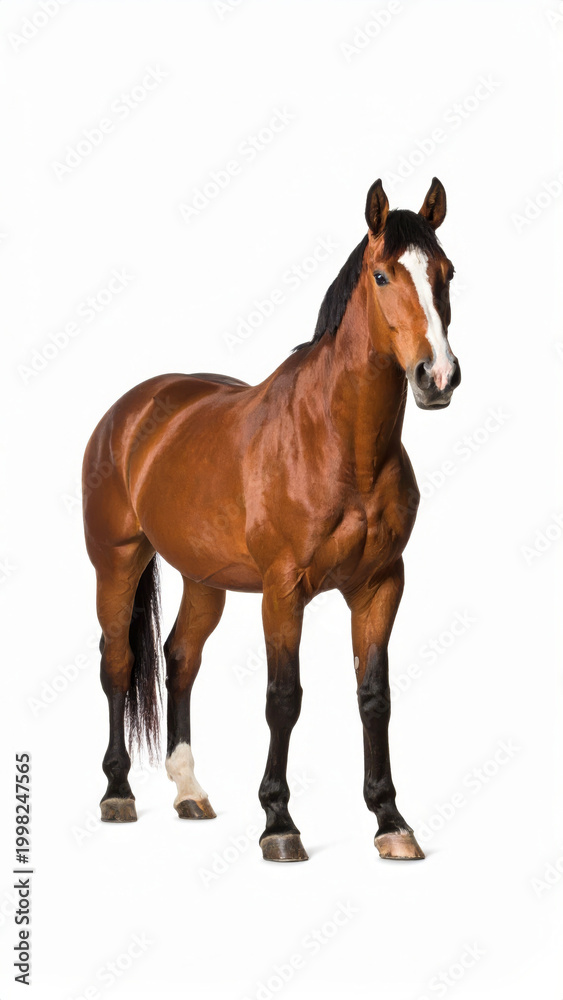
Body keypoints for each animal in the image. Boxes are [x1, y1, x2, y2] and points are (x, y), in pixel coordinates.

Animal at [82, 176, 461, 863]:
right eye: (383, 275)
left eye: (446, 273)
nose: (437, 376)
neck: (341, 444)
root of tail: (132, 409)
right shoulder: (284, 591)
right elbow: (284, 699)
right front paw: (279, 823)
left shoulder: (380, 586)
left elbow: (375, 698)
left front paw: (390, 821)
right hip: (116, 561)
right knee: (118, 662)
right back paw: (118, 792)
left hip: (203, 579)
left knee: (179, 657)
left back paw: (189, 791)